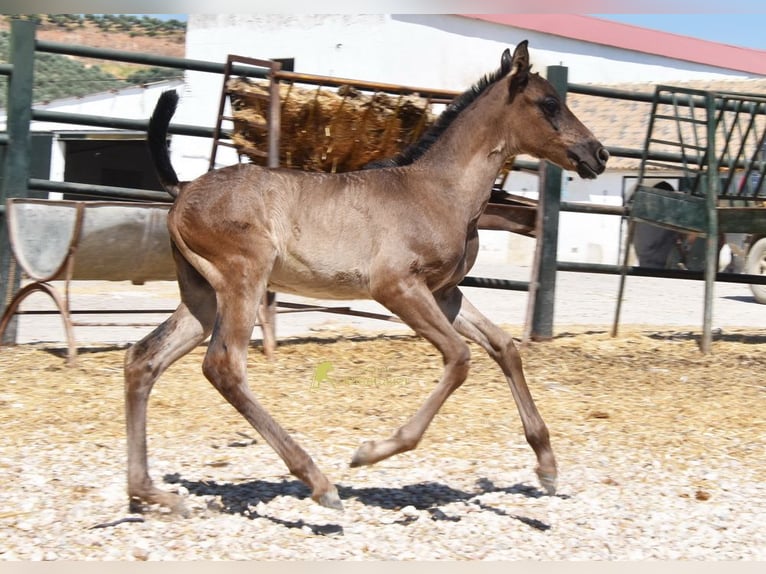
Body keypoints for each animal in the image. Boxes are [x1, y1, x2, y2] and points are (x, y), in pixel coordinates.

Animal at [125, 41, 608, 514]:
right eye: (550, 103)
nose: (598, 154)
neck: (439, 191)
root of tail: (183, 189)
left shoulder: (445, 293)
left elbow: (504, 347)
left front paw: (547, 465)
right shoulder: (395, 287)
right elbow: (458, 357)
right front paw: (372, 451)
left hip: (203, 296)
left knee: (144, 358)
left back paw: (152, 494)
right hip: (244, 278)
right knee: (224, 366)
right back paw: (318, 482)